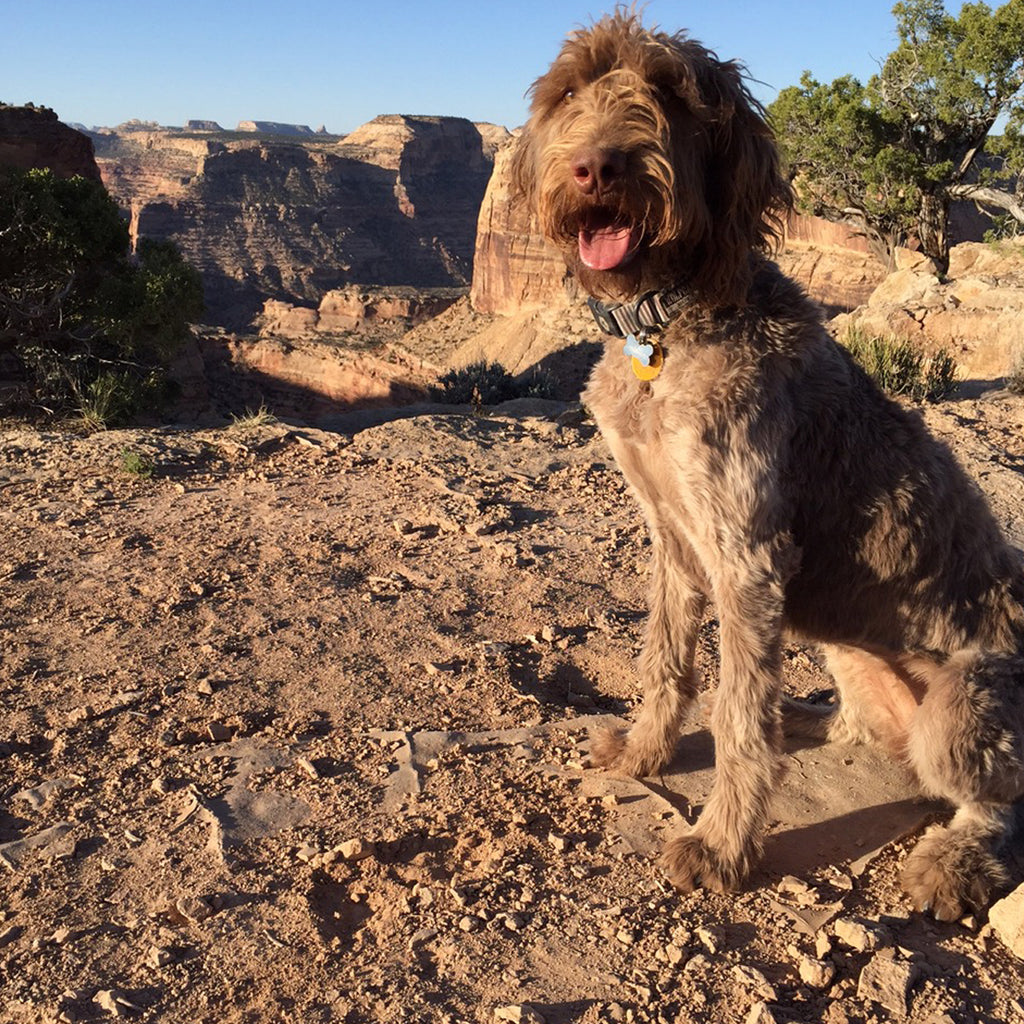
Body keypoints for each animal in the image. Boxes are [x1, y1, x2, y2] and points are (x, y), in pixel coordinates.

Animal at [516, 9, 1024, 921]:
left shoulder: (746, 557)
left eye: (672, 93)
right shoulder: (673, 536)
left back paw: (956, 860)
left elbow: (739, 721)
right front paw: (643, 752)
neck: (666, 323)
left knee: (999, 802)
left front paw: (721, 847)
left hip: (964, 707)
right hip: (851, 652)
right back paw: (819, 721)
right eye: (571, 91)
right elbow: (667, 661)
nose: (597, 165)